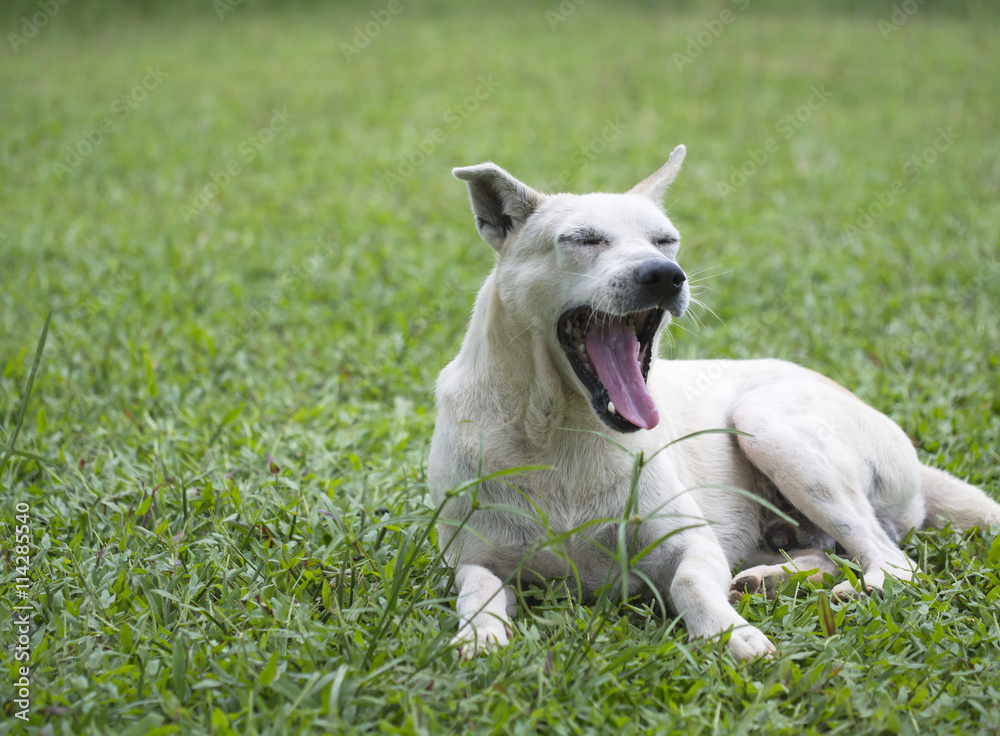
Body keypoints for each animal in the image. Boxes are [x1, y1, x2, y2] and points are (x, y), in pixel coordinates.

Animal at [428, 145, 1000, 660]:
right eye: (585, 239)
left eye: (666, 240)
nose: (664, 273)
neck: (561, 427)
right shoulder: (475, 559)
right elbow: (475, 592)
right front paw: (480, 638)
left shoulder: (692, 543)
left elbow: (689, 584)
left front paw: (729, 634)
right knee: (833, 555)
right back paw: (772, 579)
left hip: (768, 426)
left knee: (893, 560)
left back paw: (846, 589)